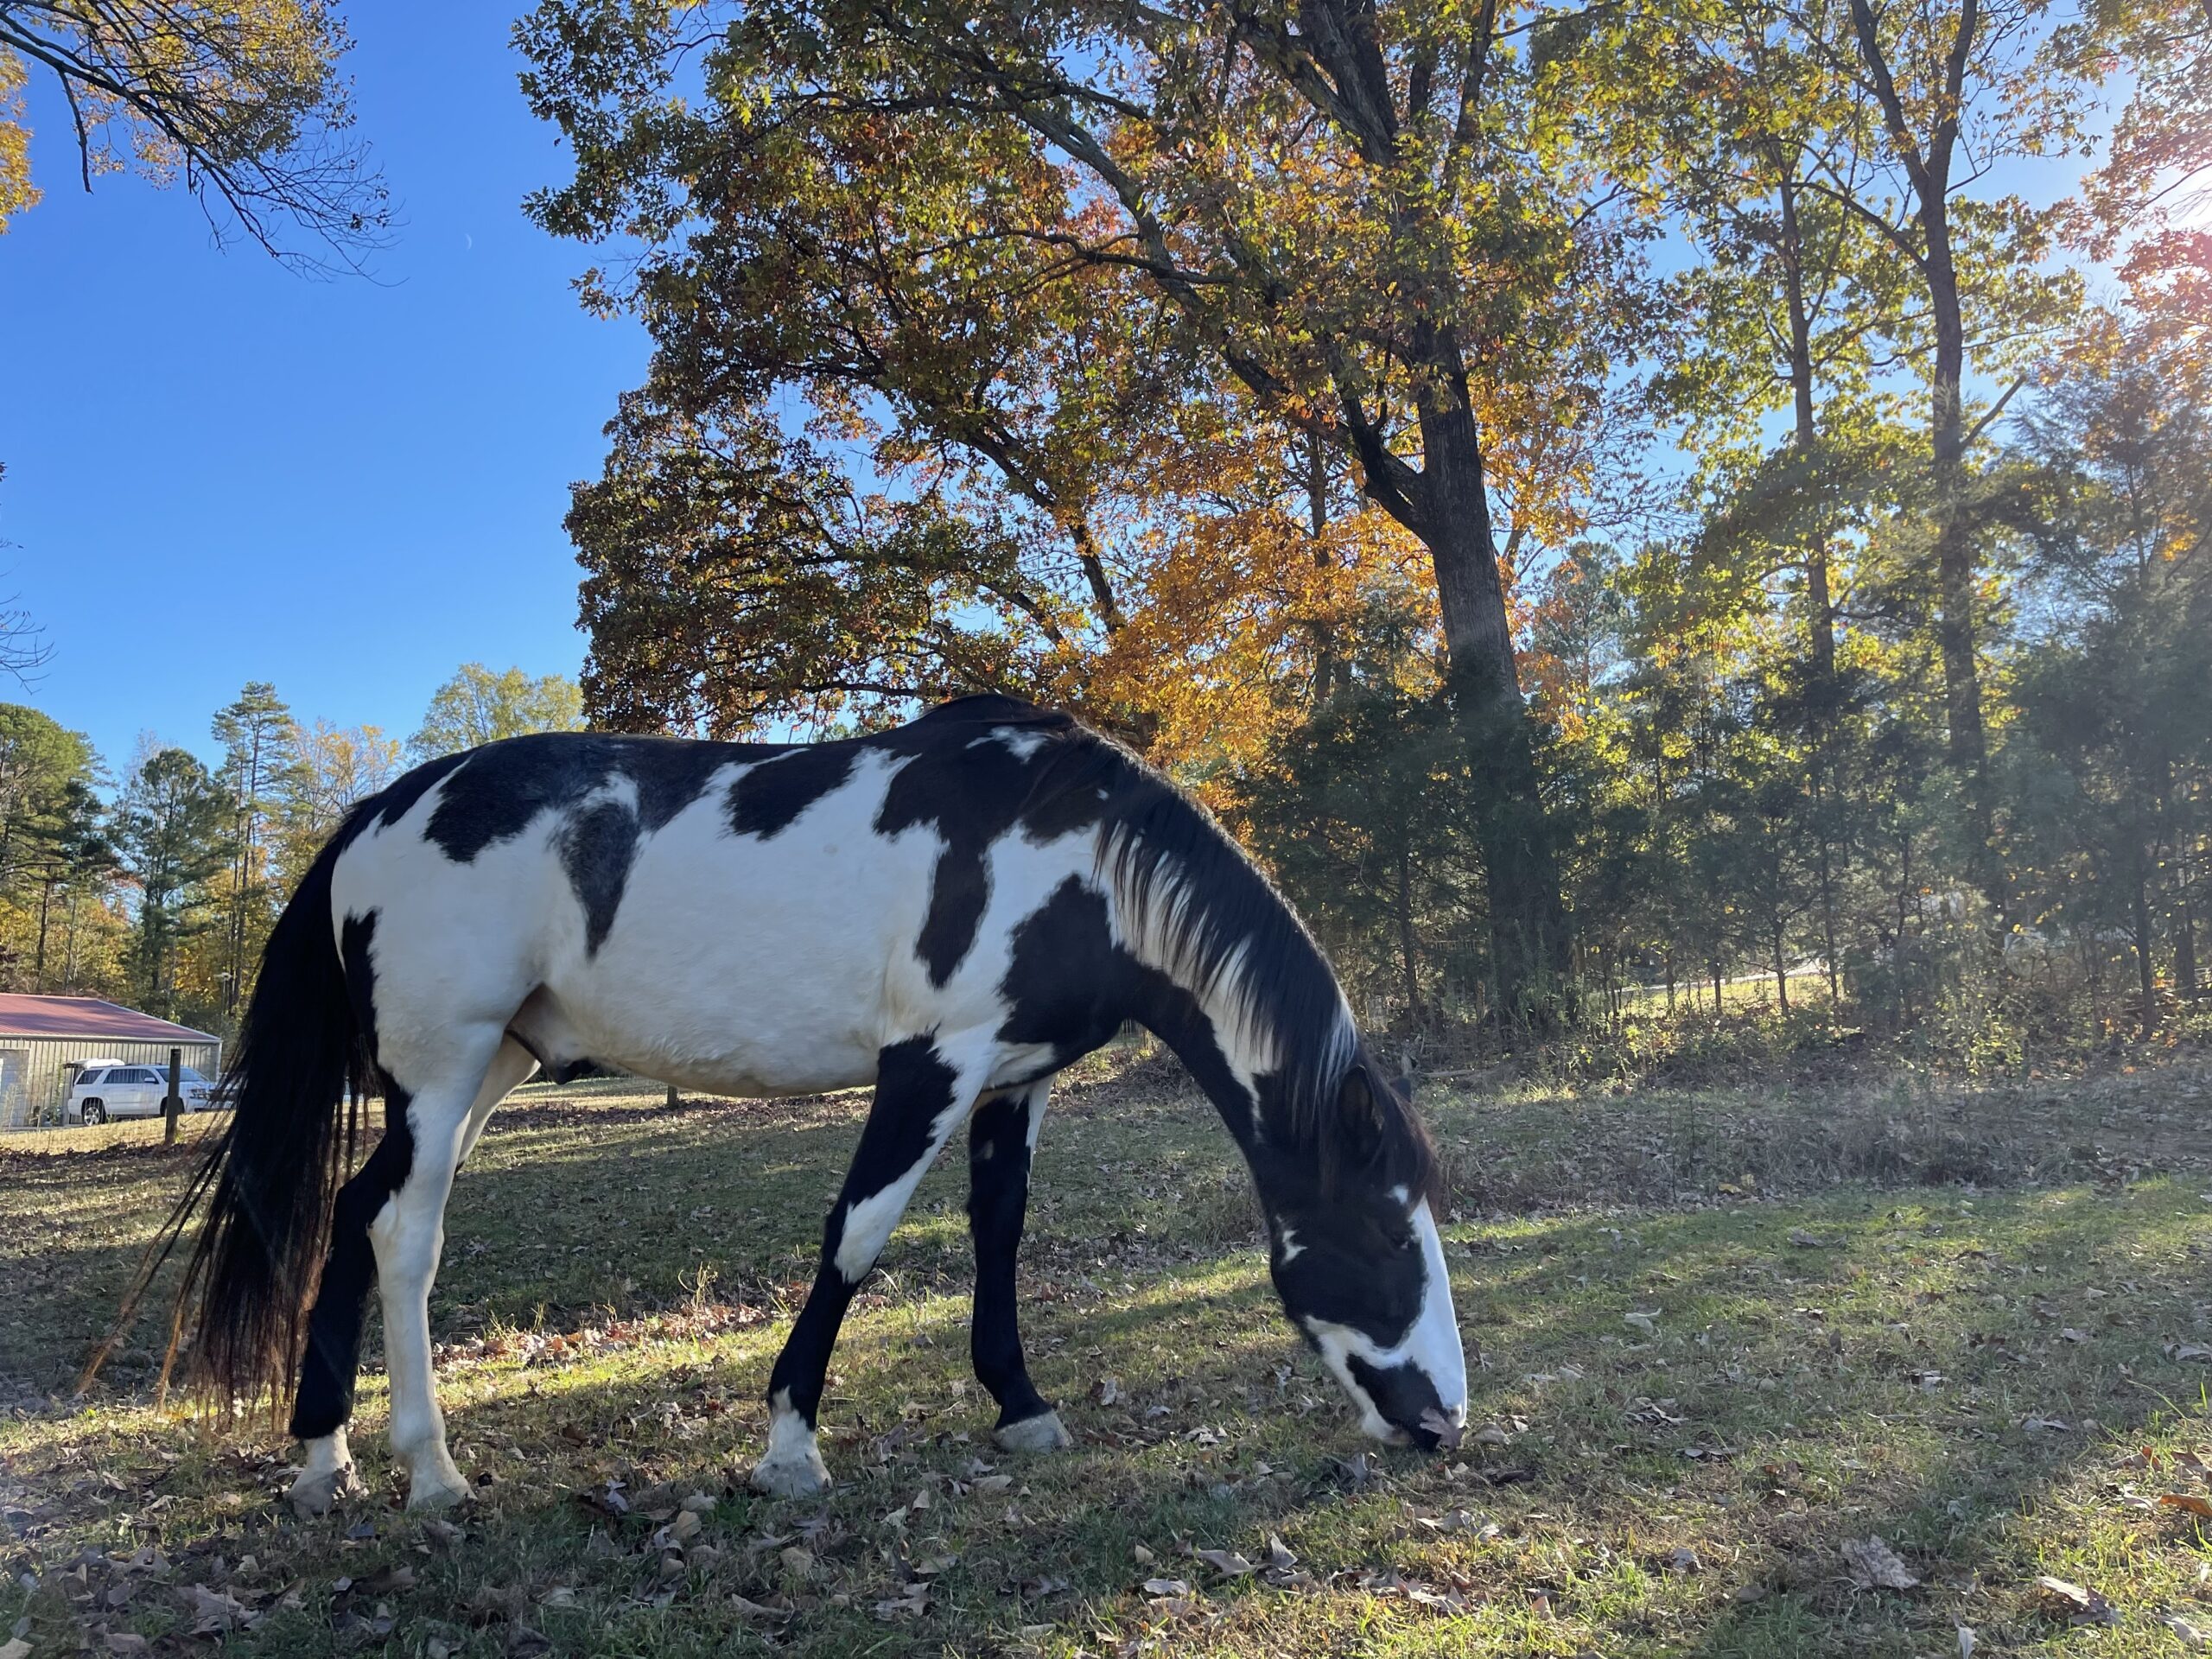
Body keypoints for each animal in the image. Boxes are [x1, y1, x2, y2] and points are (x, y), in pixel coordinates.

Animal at [125, 694, 1468, 1513]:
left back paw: (323, 1457)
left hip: (481, 1072)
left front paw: (1021, 1408)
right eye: (1381, 1232)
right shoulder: (930, 1065)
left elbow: (999, 1236)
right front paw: (789, 1444)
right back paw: (433, 1471)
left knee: (355, 1221)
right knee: (406, 1235)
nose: (1444, 1421)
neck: (1070, 854)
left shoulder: (1013, 1080)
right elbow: (858, 1238)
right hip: (440, 1068)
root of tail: (381, 811)